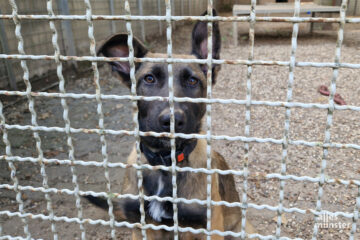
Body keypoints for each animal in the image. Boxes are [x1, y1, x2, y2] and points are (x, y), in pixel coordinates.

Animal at [86, 9, 256, 240]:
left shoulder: (208, 226)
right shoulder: (141, 226)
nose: (172, 120)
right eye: (149, 79)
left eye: (192, 81)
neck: (165, 165)